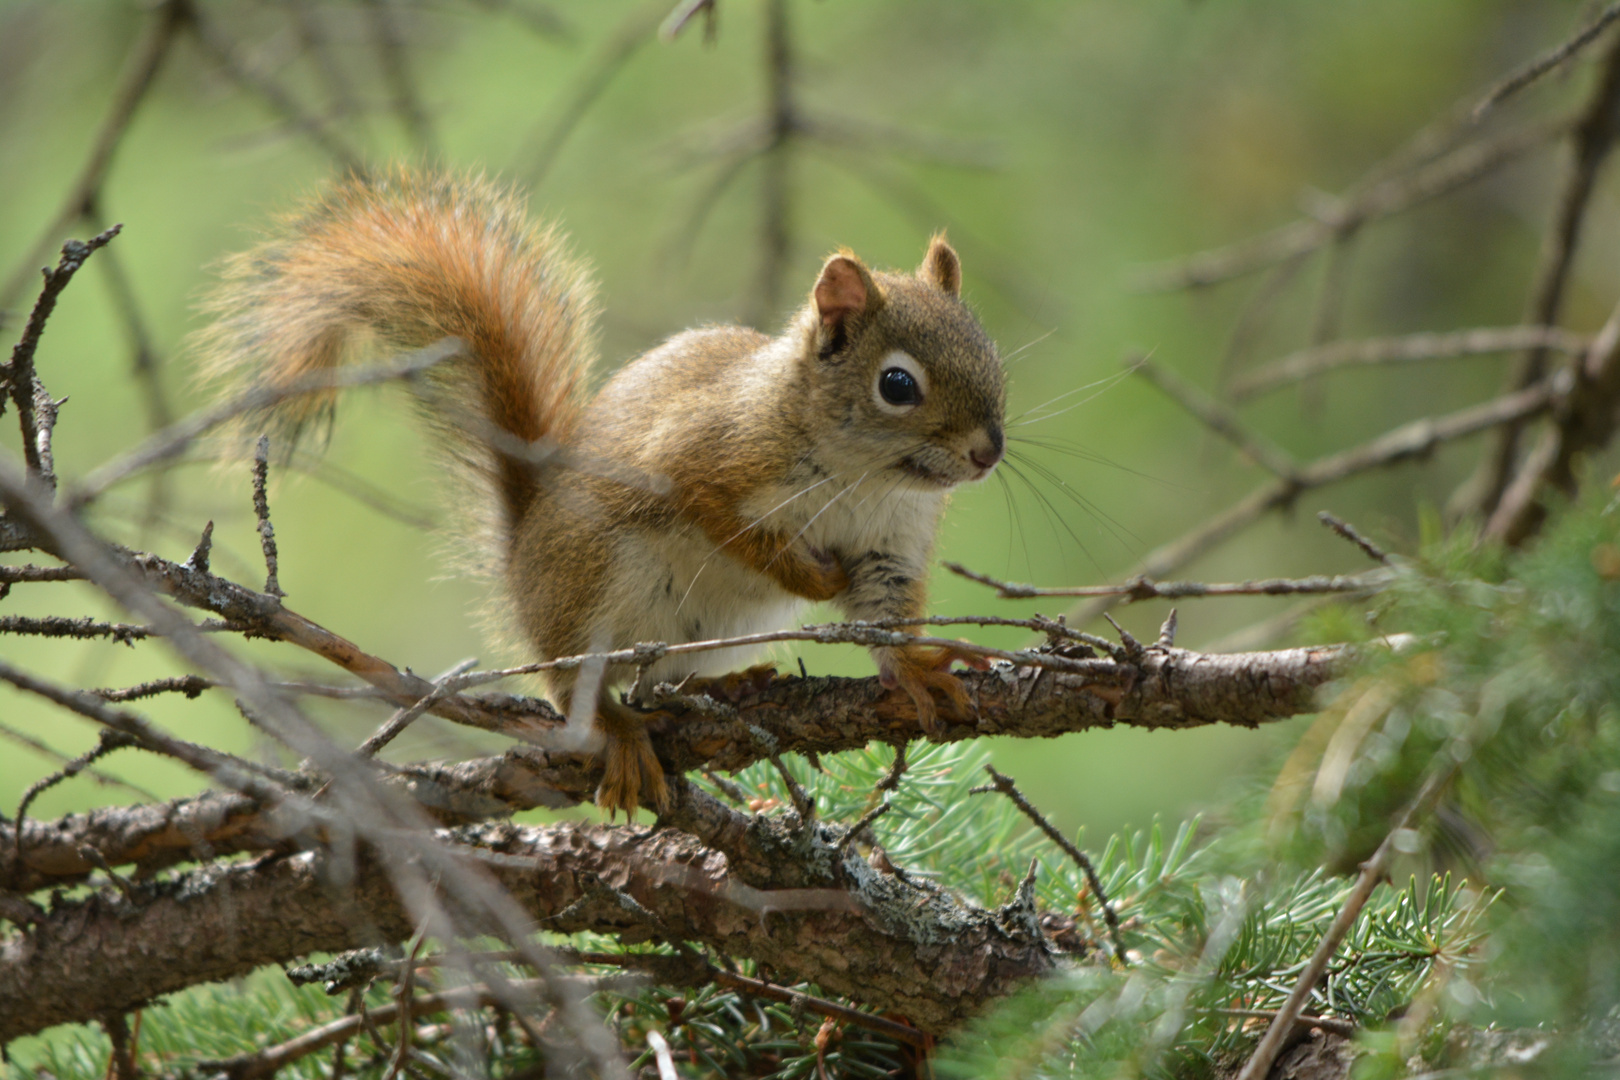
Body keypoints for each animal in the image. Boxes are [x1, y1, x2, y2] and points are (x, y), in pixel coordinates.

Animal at [197, 166, 1004, 809]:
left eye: (990, 353)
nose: (988, 453)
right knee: (577, 694)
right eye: (897, 385)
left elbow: (884, 614)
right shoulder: (703, 460)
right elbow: (734, 530)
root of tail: (521, 566)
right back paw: (618, 728)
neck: (863, 477)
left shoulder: (892, 542)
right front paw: (810, 577)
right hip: (592, 582)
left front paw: (917, 670)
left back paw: (724, 687)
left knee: (665, 676)